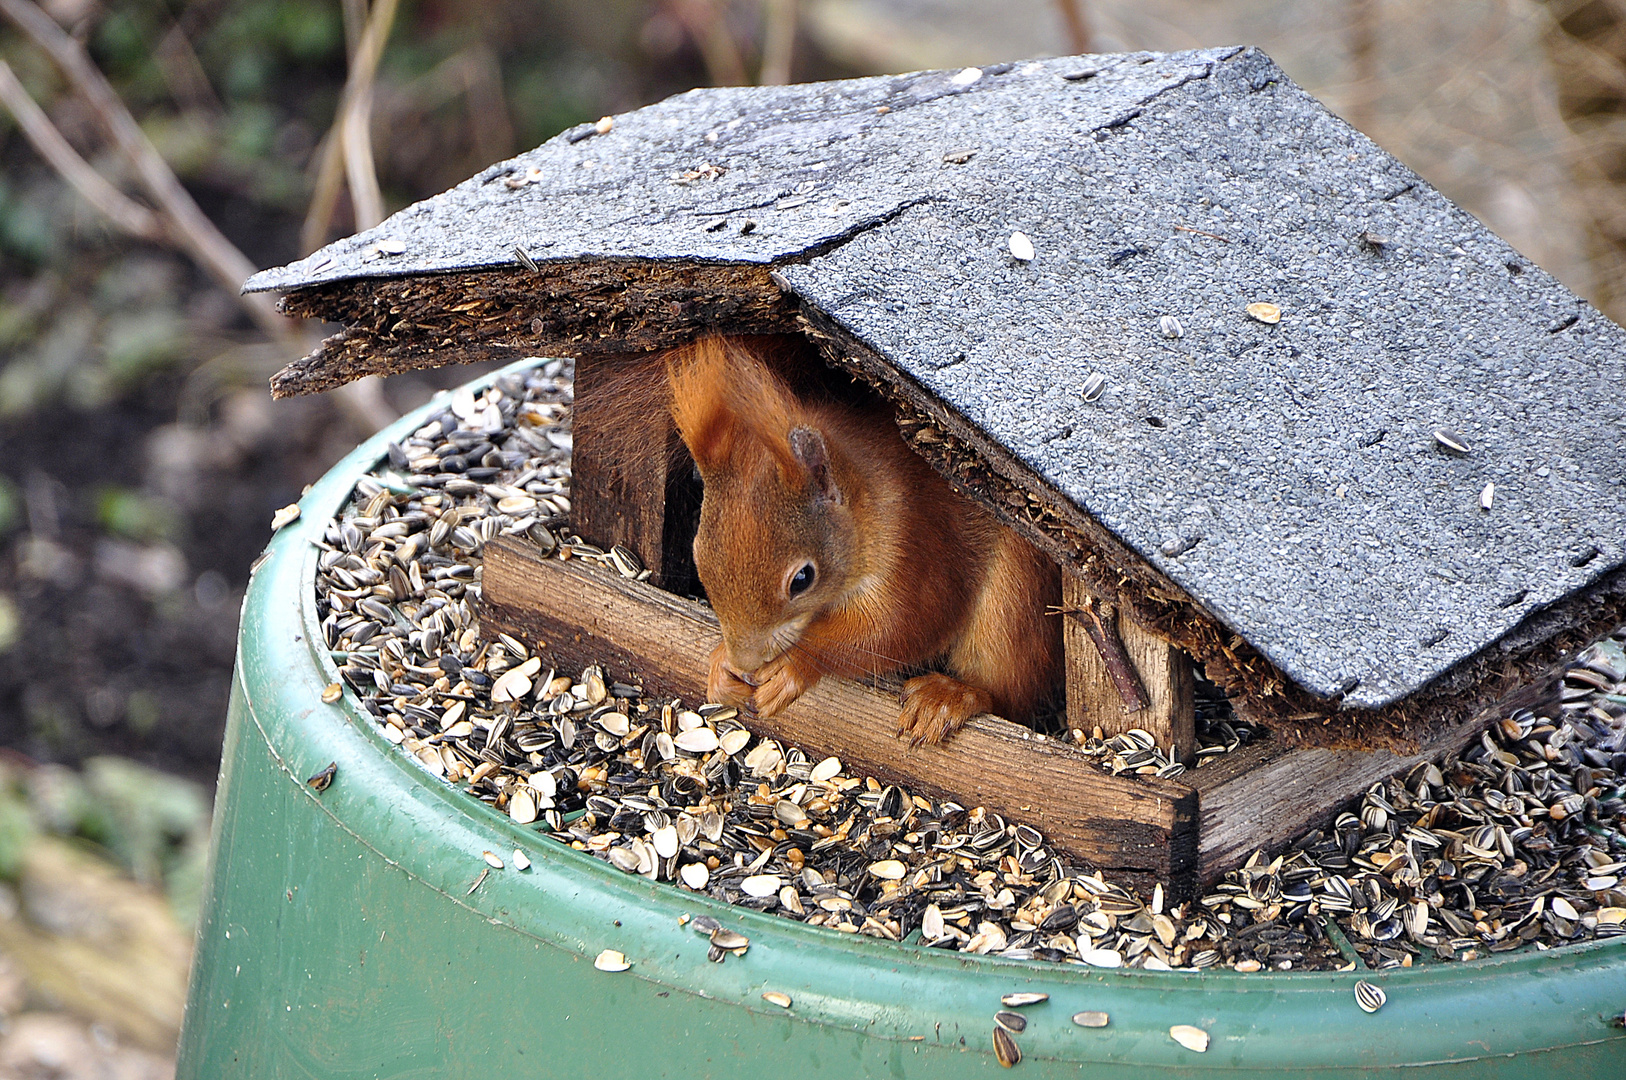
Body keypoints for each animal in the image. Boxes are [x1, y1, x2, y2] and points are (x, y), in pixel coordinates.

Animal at [663, 335, 1066, 741]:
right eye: (697, 557)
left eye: (802, 579)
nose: (745, 660)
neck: (865, 501)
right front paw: (721, 665)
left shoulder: (917, 542)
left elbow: (900, 627)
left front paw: (792, 665)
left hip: (1012, 601)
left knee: (1007, 692)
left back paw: (950, 696)